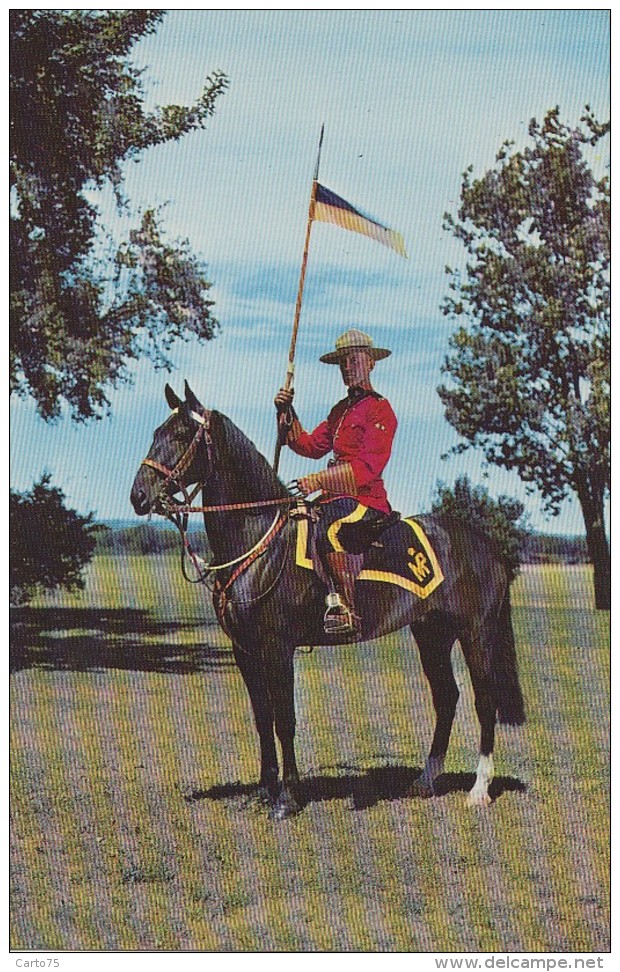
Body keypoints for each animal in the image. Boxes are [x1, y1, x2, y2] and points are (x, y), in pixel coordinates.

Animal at [130, 384, 524, 816]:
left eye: (182, 434)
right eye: (156, 431)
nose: (139, 496)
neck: (259, 541)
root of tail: (486, 543)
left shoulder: (277, 647)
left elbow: (284, 720)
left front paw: (287, 798)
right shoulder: (245, 650)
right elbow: (262, 719)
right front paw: (264, 791)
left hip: (476, 634)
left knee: (484, 701)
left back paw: (479, 789)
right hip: (432, 634)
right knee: (447, 698)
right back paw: (424, 780)